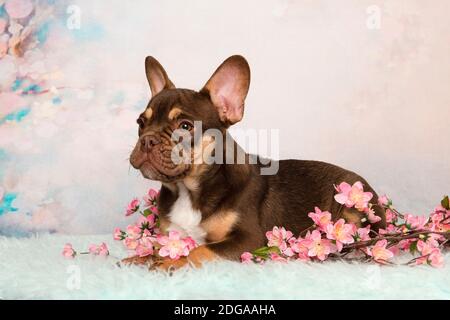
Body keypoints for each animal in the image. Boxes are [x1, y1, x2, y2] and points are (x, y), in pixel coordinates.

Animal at [127, 55, 386, 270]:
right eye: (140, 122)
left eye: (185, 126)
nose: (147, 140)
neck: (189, 189)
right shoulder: (171, 234)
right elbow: (155, 246)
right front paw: (137, 258)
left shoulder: (248, 239)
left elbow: (200, 250)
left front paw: (169, 263)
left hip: (354, 213)